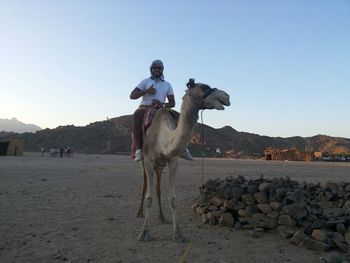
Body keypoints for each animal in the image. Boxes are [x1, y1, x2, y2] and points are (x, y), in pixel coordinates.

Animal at [138, 79, 231, 243]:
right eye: (204, 87)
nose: (226, 96)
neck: (163, 141)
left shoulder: (173, 161)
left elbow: (173, 199)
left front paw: (178, 234)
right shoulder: (149, 161)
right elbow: (149, 198)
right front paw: (144, 233)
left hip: (160, 165)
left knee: (158, 188)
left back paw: (162, 218)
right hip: (145, 161)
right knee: (144, 184)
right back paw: (139, 213)